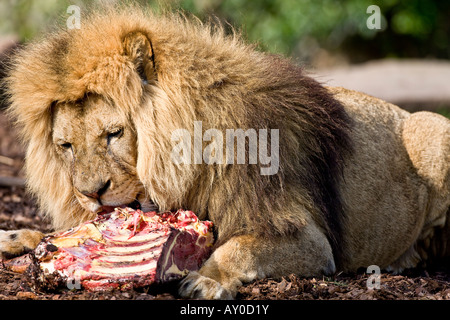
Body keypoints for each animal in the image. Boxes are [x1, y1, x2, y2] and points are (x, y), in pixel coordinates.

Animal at [0, 4, 450, 300]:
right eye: (65, 146)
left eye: (114, 134)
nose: (91, 194)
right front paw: (20, 236)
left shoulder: (308, 238)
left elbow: (238, 247)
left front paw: (207, 278)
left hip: (432, 128)